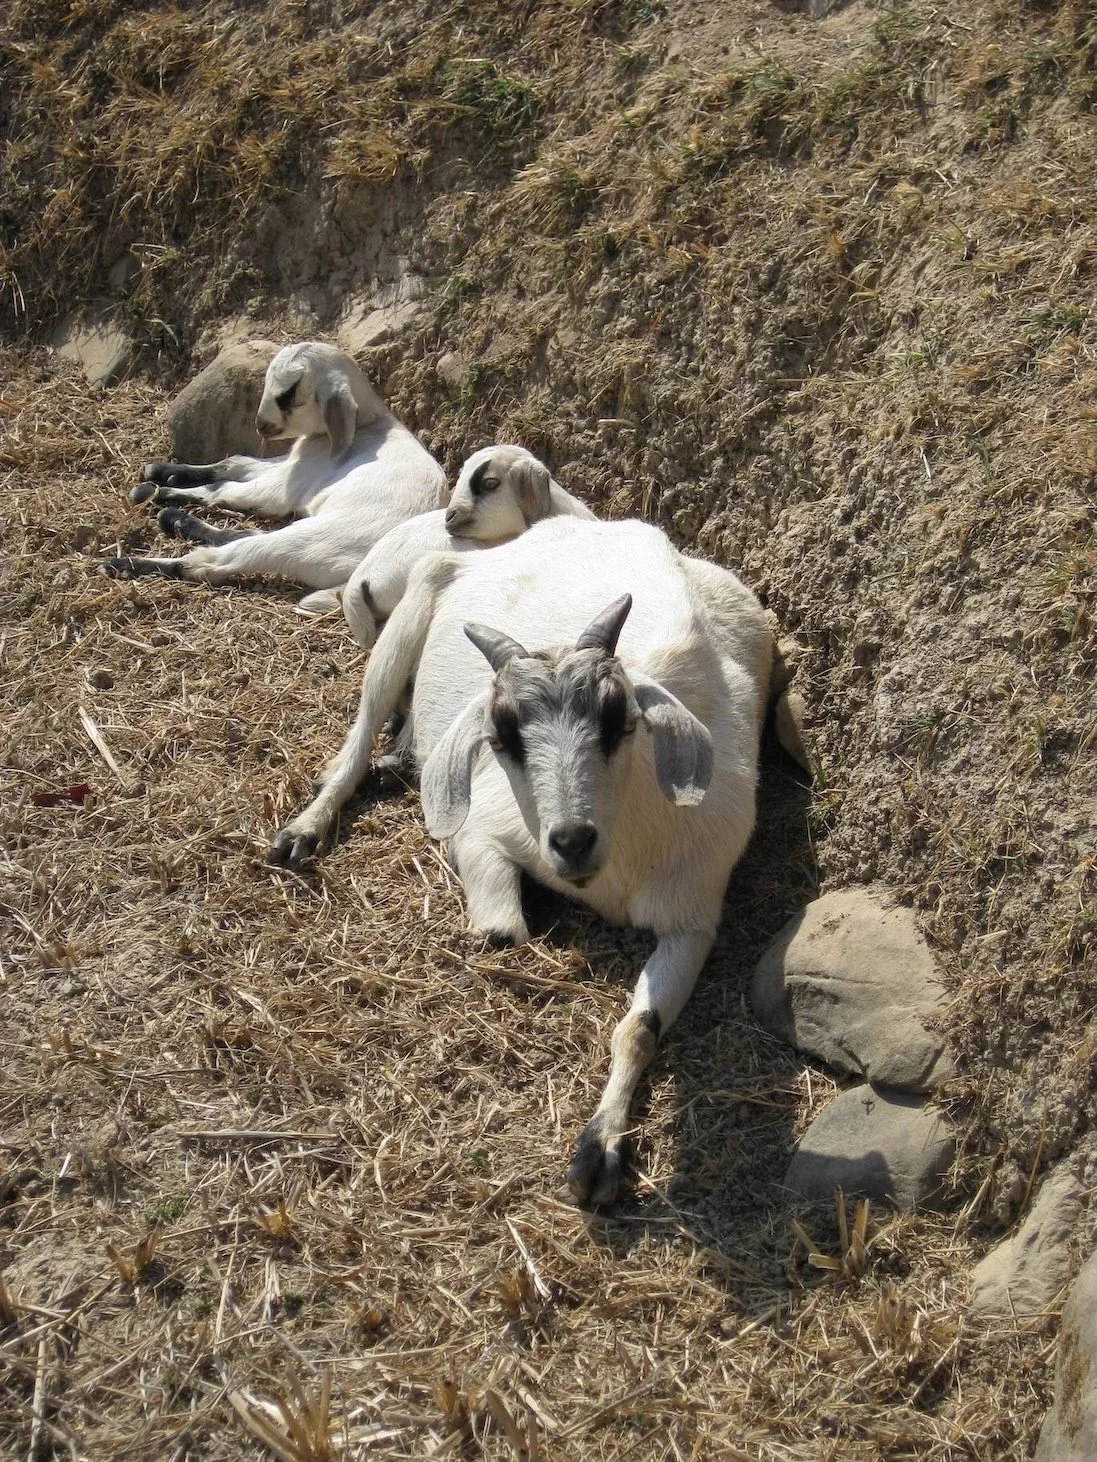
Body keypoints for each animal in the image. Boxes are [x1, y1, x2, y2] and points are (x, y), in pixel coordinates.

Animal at [102, 341, 446, 609]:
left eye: (289, 394)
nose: (261, 425)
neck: (369, 425)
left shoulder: (287, 485)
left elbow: (222, 488)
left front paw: (157, 491)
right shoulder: (288, 464)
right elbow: (234, 463)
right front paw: (163, 474)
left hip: (311, 541)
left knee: (214, 561)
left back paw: (126, 561)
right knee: (242, 534)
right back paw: (175, 520)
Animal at [268, 518, 772, 1207]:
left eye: (620, 719)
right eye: (502, 735)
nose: (572, 840)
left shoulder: (693, 919)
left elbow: (639, 1027)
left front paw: (600, 1152)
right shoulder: (483, 832)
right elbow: (501, 934)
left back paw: (399, 757)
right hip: (408, 617)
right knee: (357, 735)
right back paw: (305, 828)